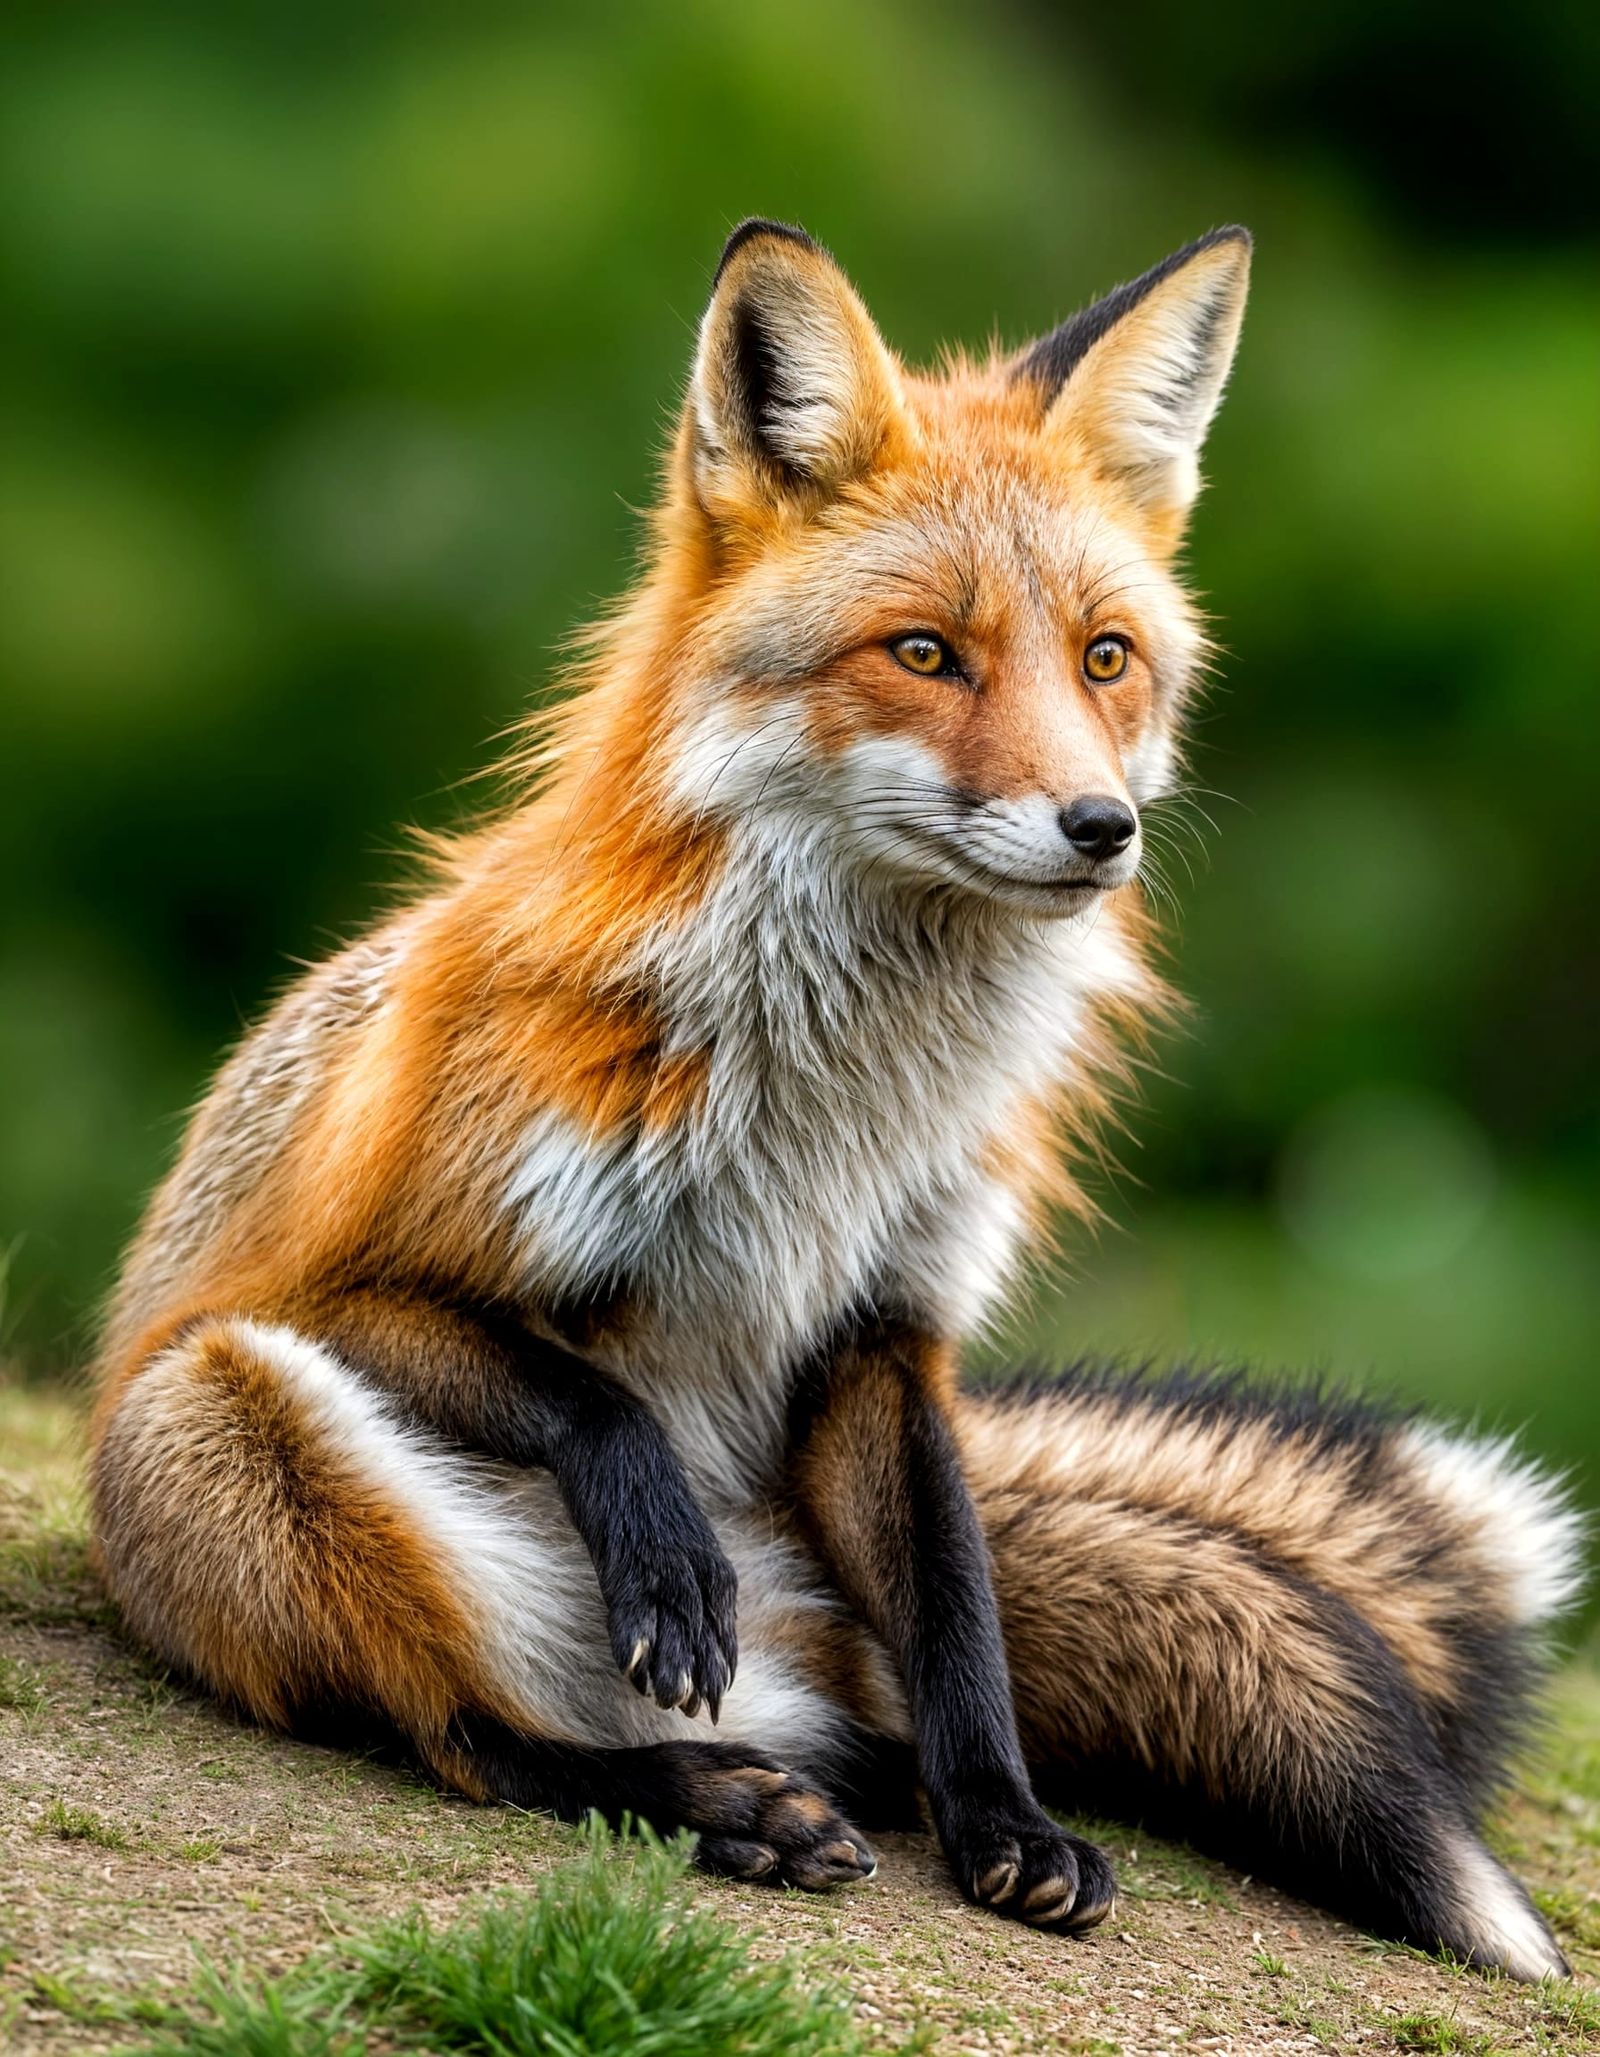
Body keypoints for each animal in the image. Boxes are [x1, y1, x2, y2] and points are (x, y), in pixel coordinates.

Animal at [88, 220, 1582, 1980]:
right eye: (926, 652)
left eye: (1107, 659)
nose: (1102, 826)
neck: (829, 1111)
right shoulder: (333, 1274)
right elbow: (592, 1400)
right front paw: (664, 1553)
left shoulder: (888, 1320)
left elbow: (960, 1611)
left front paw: (1005, 1827)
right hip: (221, 1417)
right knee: (465, 1731)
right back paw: (706, 1797)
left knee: (858, 1698)